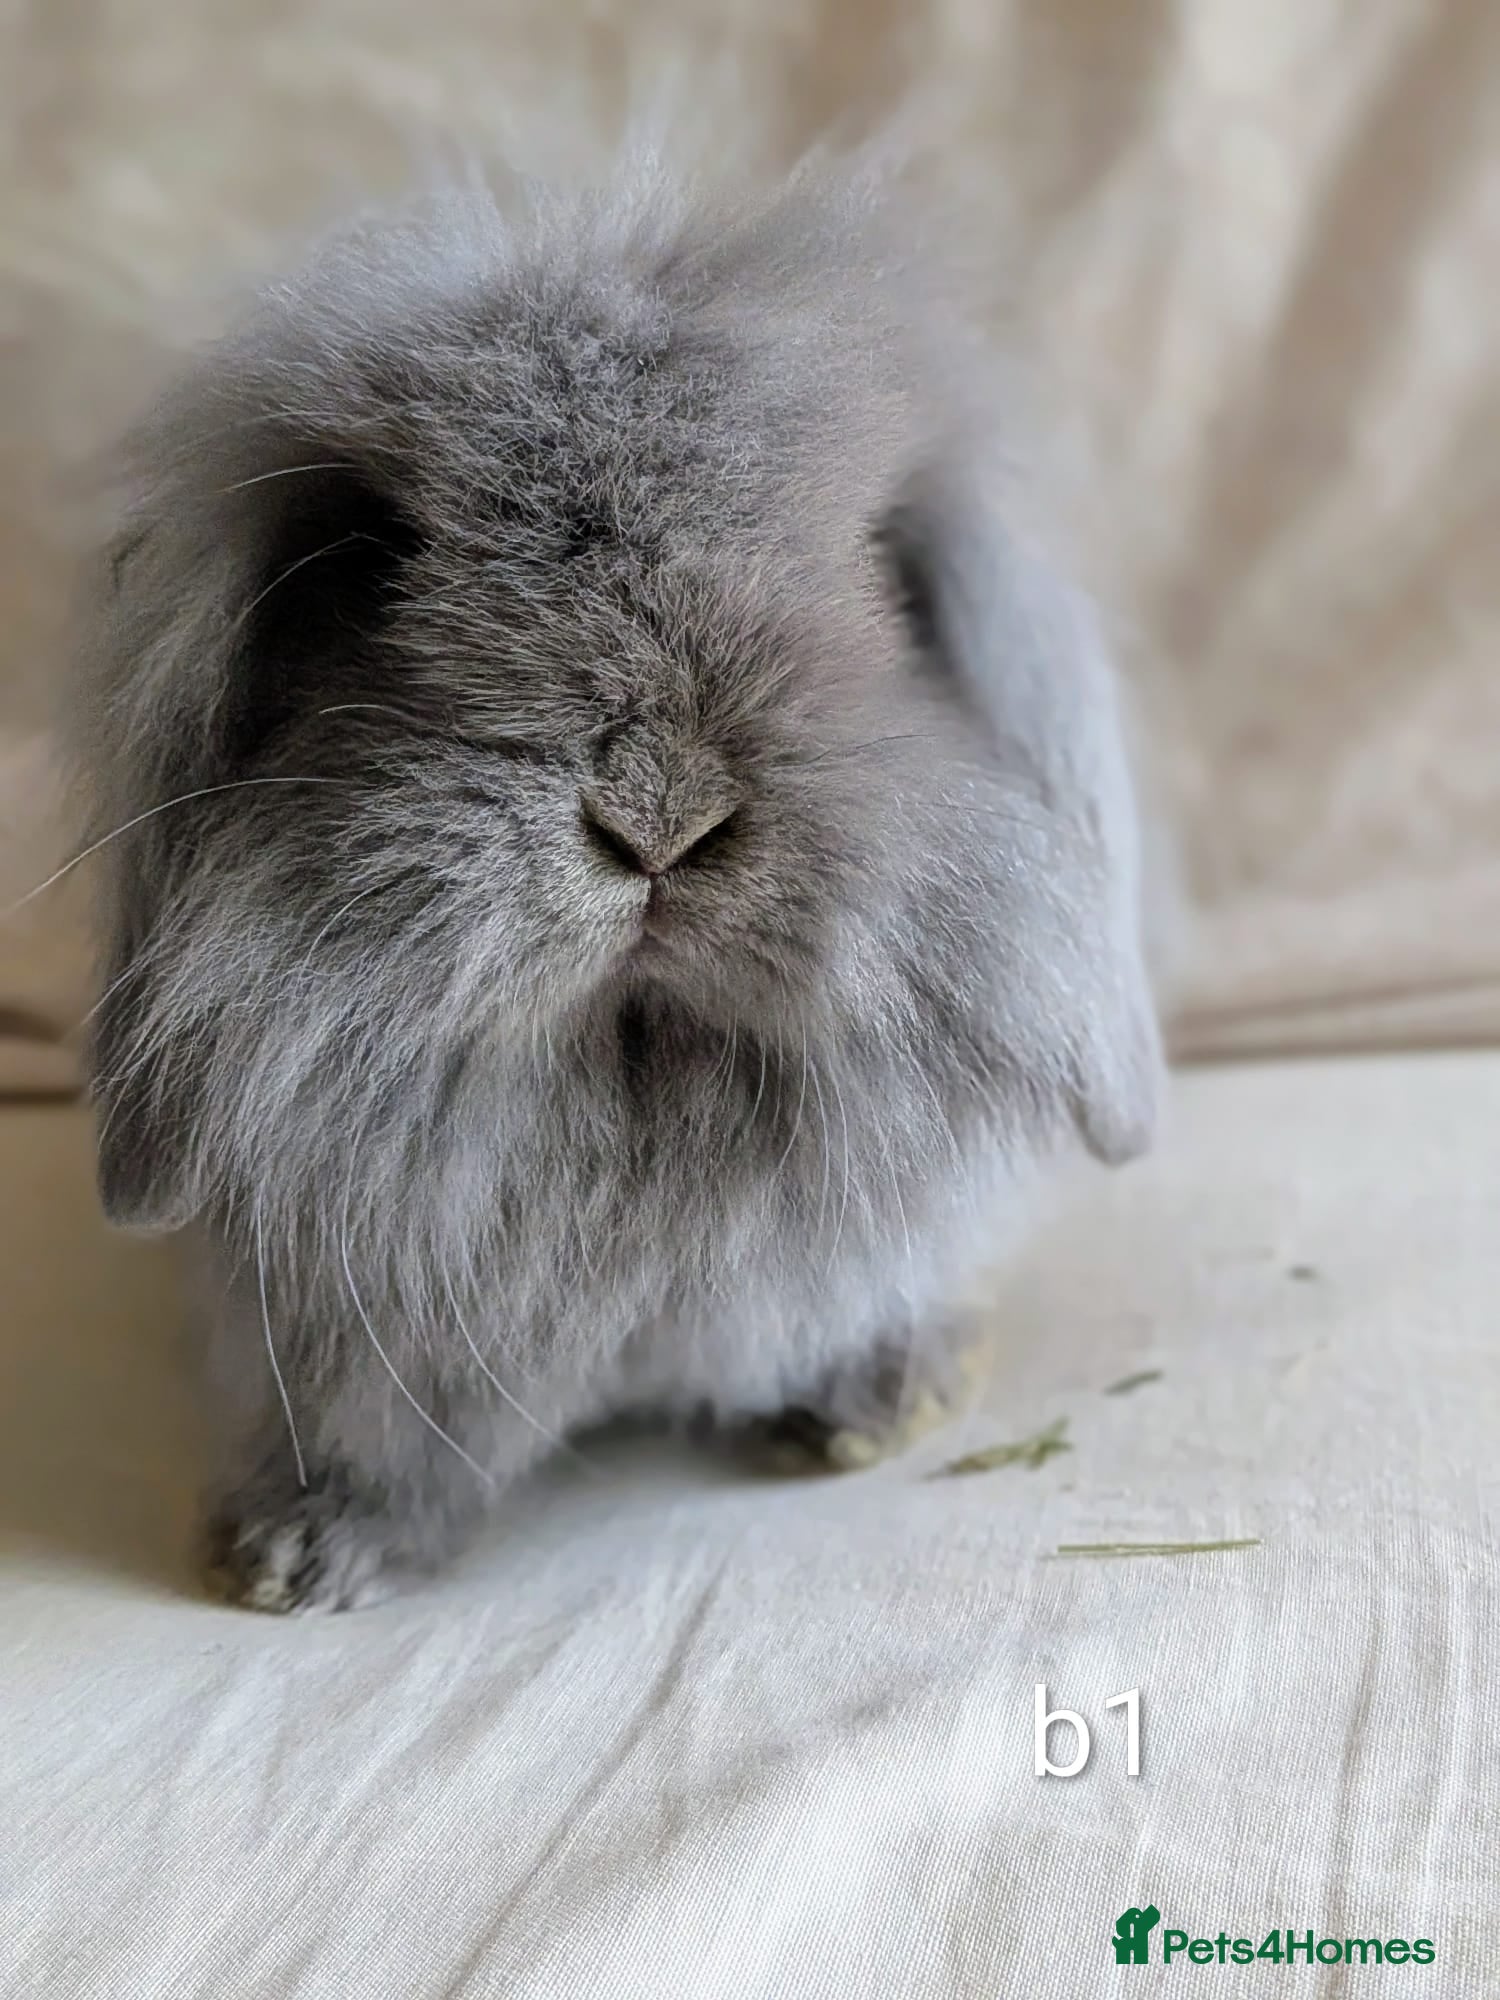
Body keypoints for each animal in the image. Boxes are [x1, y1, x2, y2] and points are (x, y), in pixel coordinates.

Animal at [70, 160, 1161, 1613]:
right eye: (371, 560)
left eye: (877, 568)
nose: (659, 818)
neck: (637, 1110)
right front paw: (299, 1555)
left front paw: (875, 1407)